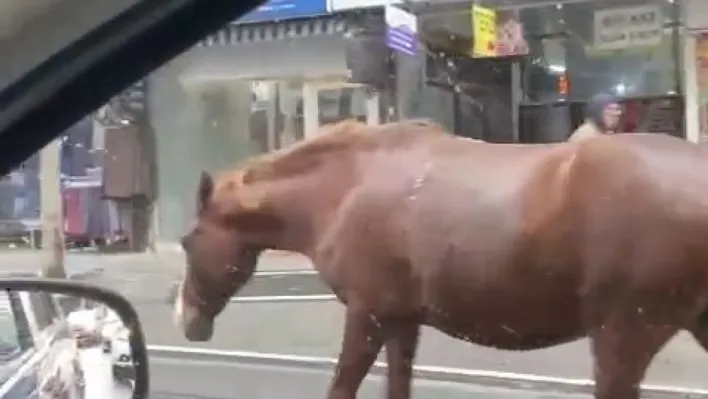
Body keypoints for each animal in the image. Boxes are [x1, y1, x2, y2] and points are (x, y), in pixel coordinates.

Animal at [173, 120, 708, 399]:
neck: (342, 189)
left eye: (186, 240)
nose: (186, 319)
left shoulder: (367, 315)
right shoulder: (401, 321)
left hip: (624, 335)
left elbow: (342, 387)